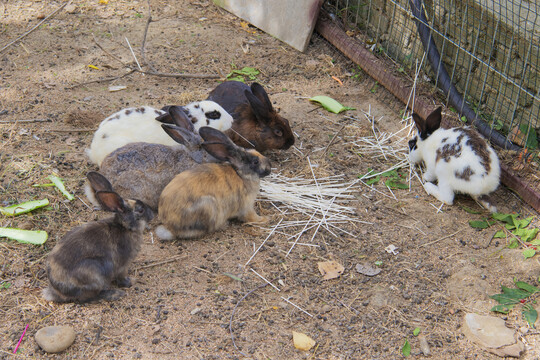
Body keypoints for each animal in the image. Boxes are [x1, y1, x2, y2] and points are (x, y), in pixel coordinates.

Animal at [42, 173, 154, 302]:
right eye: (141, 210)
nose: (152, 214)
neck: (125, 227)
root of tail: (58, 291)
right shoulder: (122, 266)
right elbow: (122, 278)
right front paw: (131, 282)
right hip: (94, 271)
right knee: (91, 296)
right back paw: (115, 294)